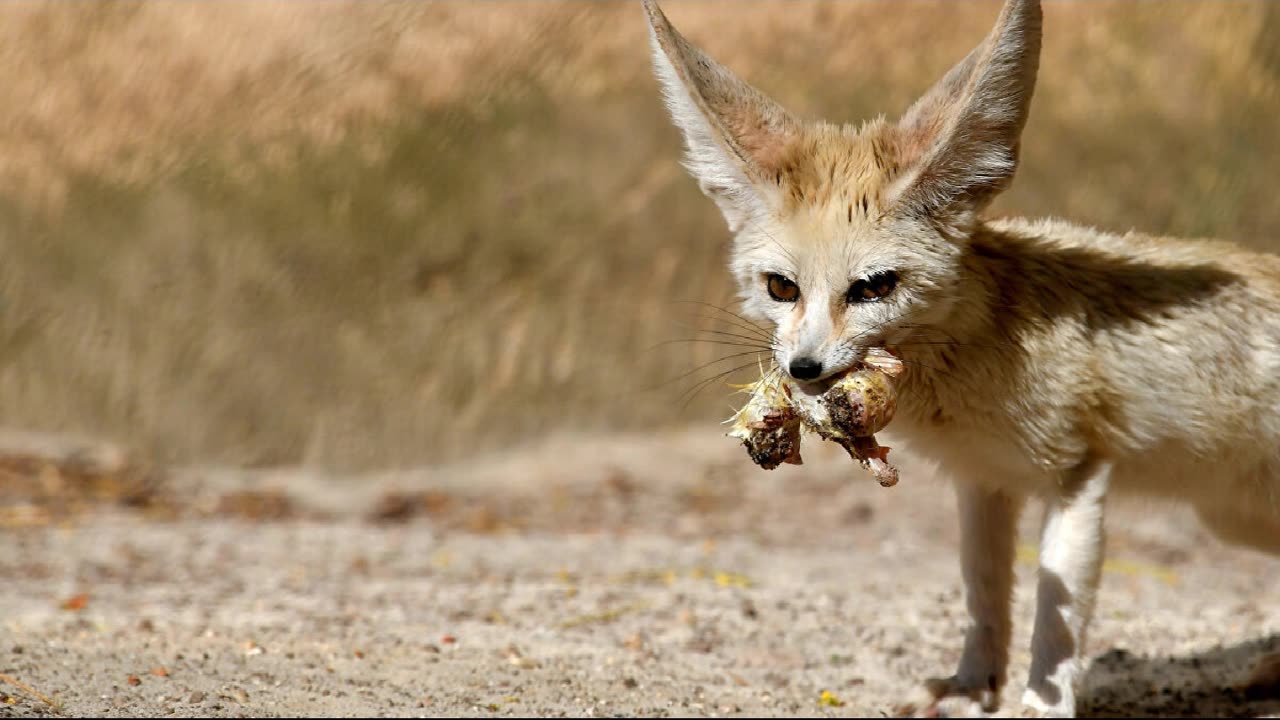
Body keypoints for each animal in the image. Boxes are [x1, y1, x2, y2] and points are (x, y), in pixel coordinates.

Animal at [645, 0, 1280, 712]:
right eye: (782, 288)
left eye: (874, 287)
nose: (803, 370)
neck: (974, 364)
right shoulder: (982, 479)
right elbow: (983, 594)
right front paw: (972, 687)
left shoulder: (1079, 473)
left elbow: (1056, 618)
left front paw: (1042, 705)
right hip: (1234, 519)